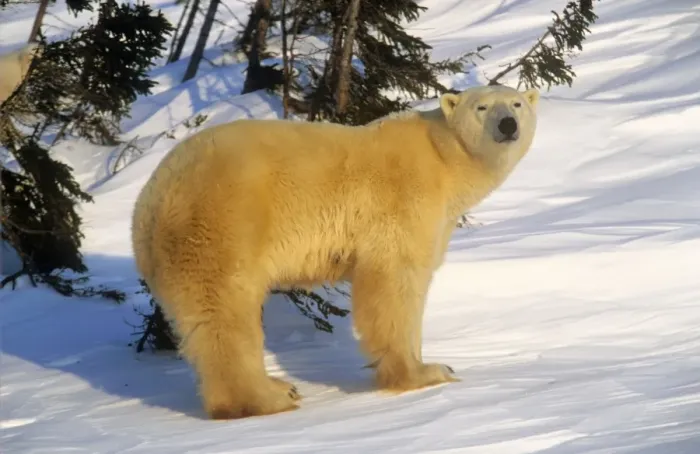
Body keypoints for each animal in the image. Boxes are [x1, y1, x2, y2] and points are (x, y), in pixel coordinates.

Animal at [131, 83, 540, 420]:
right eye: (482, 107)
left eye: (517, 103)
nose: (507, 125)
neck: (442, 158)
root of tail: (150, 201)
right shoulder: (403, 201)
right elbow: (394, 281)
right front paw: (426, 373)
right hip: (222, 222)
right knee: (225, 312)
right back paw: (267, 398)